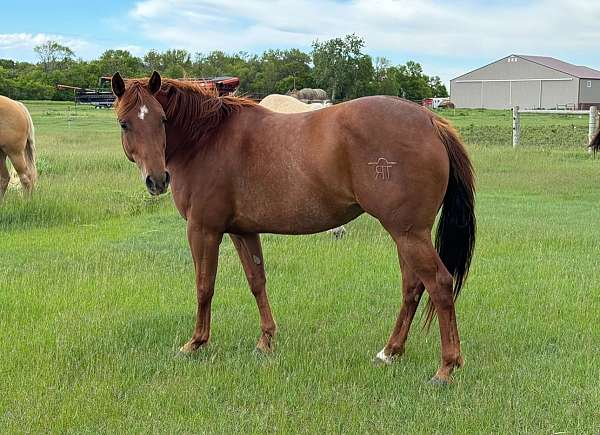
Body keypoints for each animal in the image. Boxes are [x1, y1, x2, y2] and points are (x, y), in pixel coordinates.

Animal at [111, 71, 478, 384]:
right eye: (125, 123)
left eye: (162, 119)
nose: (157, 180)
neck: (208, 138)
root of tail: (430, 120)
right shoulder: (242, 231)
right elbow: (257, 281)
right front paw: (265, 341)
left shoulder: (204, 230)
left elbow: (204, 286)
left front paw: (195, 343)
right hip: (406, 235)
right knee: (413, 287)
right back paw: (390, 352)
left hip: (408, 233)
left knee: (439, 285)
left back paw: (446, 368)